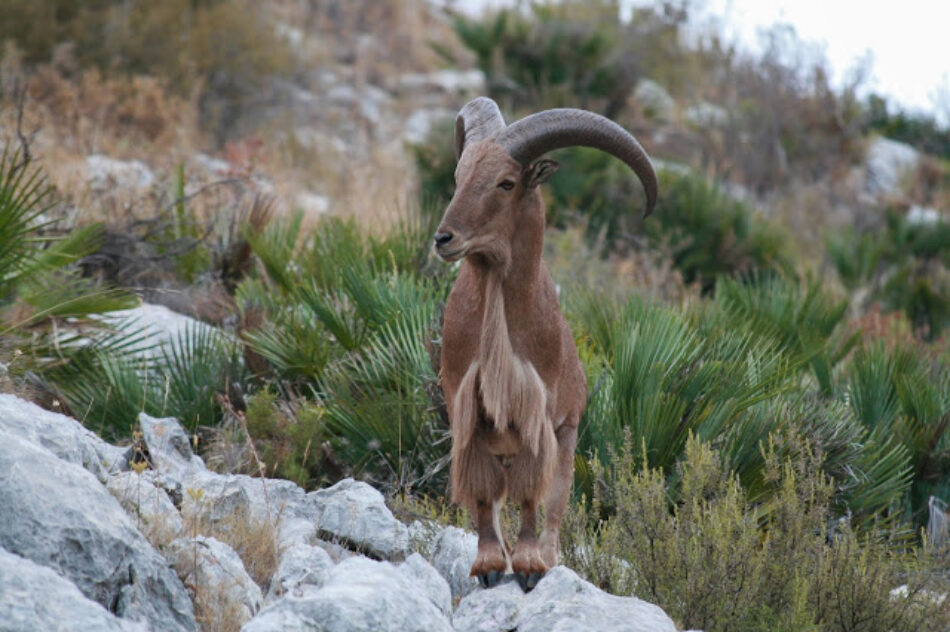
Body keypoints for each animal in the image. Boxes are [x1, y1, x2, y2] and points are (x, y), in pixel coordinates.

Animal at [436, 96, 660, 592]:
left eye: (506, 182)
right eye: (458, 177)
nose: (444, 238)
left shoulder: (541, 414)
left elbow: (530, 497)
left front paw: (528, 566)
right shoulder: (466, 408)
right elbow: (484, 495)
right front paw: (488, 565)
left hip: (569, 436)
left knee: (553, 506)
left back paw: (548, 559)